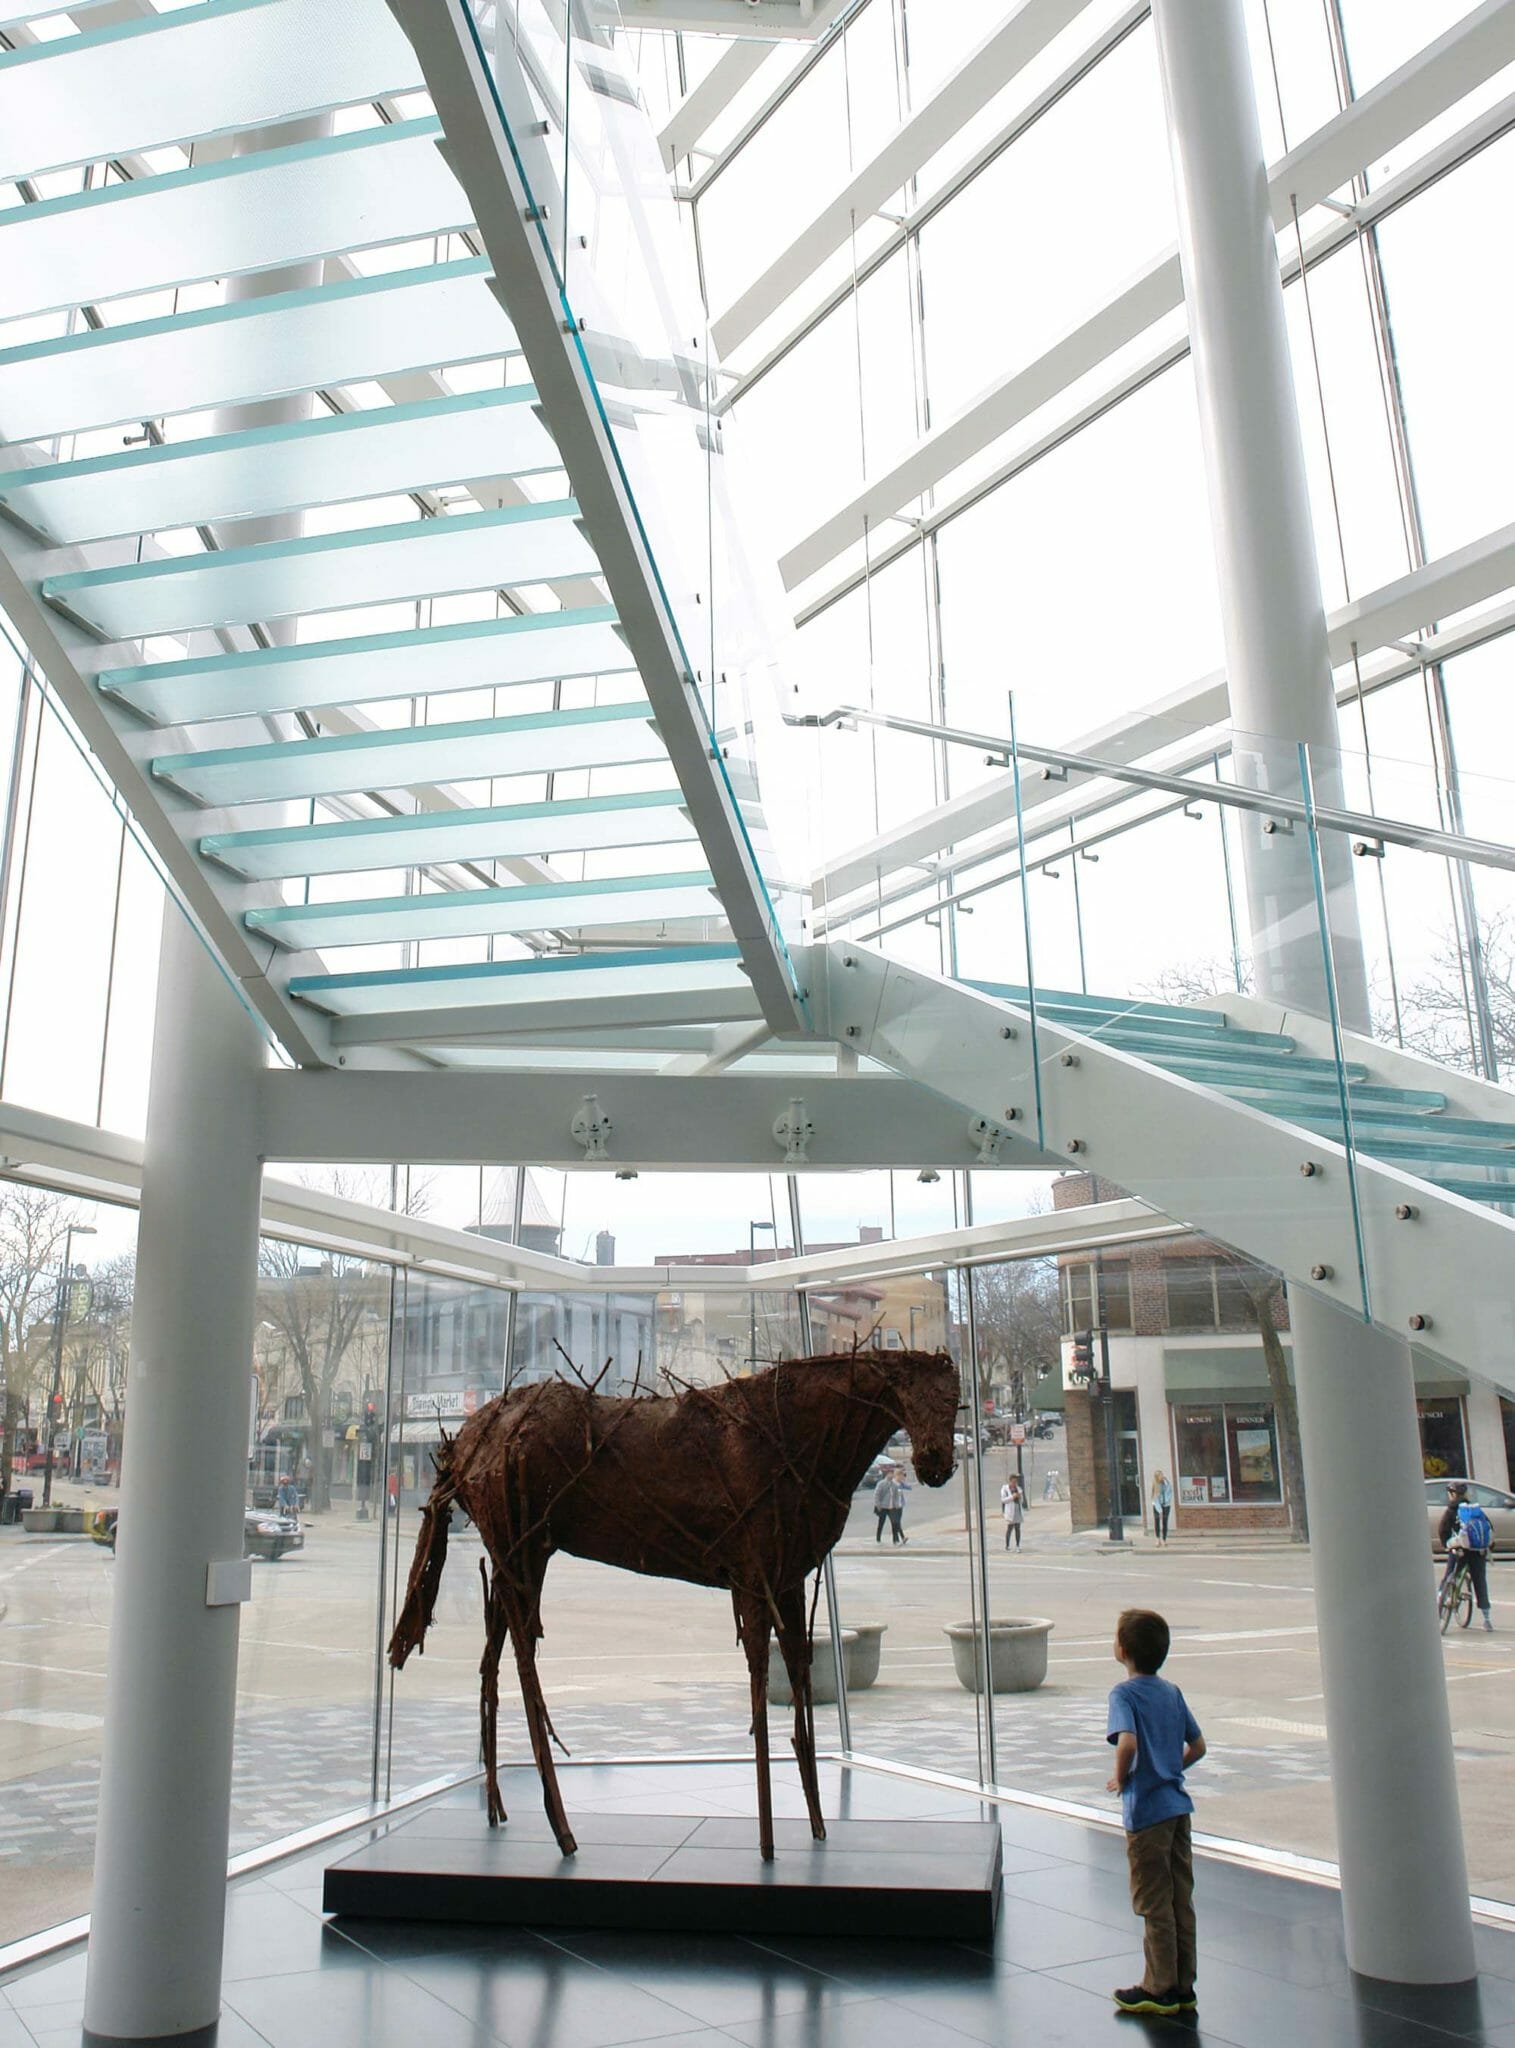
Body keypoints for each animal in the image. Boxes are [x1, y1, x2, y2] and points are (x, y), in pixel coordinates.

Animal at [391, 1351, 958, 1867]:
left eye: (955, 1399)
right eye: (915, 1394)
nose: (934, 1464)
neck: (802, 1436)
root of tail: (464, 1442)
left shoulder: (789, 1577)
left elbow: (799, 1675)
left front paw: (818, 1823)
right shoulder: (753, 1576)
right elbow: (760, 1686)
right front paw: (768, 1843)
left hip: (508, 1556)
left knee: (490, 1661)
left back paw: (496, 1810)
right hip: (520, 1546)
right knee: (524, 1662)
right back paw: (562, 1831)